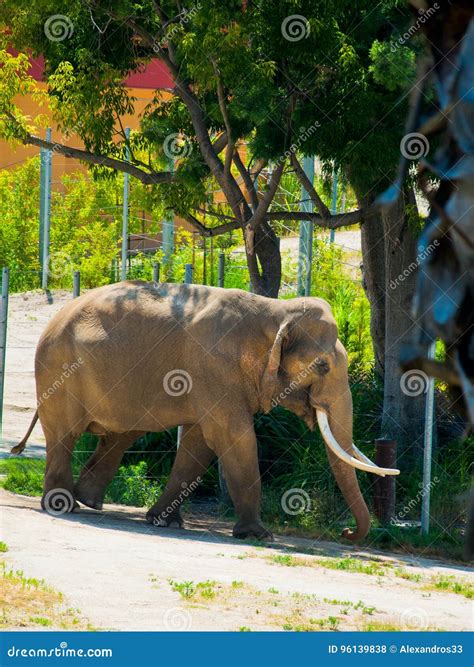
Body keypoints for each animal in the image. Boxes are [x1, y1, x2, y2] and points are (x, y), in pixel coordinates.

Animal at [12, 280, 399, 540]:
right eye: (321, 366)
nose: (347, 532)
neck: (275, 311)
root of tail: (54, 317)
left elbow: (198, 444)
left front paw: (163, 521)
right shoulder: (213, 368)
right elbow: (233, 437)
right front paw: (259, 535)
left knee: (120, 436)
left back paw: (90, 502)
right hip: (58, 371)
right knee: (64, 436)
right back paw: (64, 506)